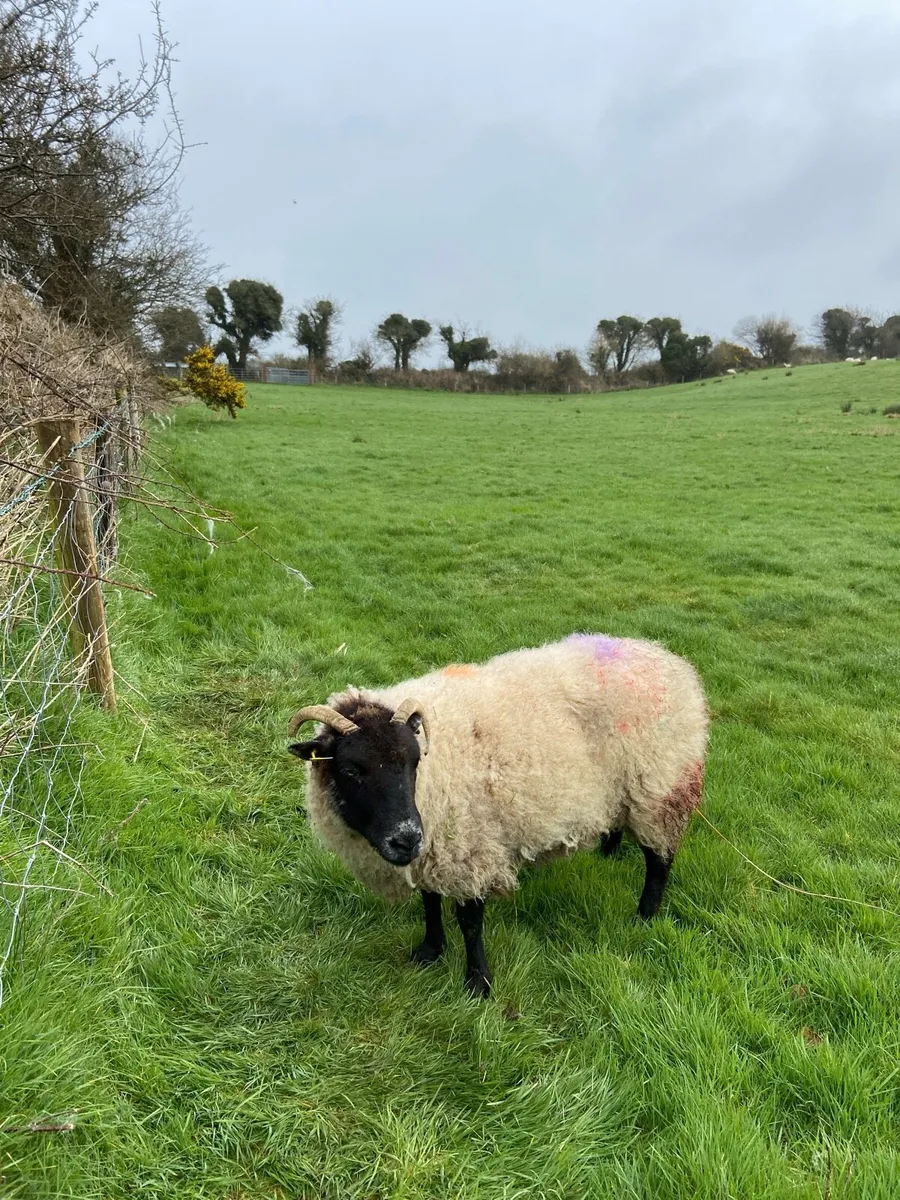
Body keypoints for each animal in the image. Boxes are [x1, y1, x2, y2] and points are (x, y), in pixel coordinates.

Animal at [287, 633, 708, 998]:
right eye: (351, 770)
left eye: (413, 761)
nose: (405, 838)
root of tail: (669, 660)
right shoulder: (433, 846)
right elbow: (429, 901)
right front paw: (430, 950)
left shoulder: (469, 844)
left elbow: (471, 922)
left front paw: (478, 983)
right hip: (619, 790)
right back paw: (608, 855)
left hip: (659, 787)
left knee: (660, 859)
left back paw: (645, 916)